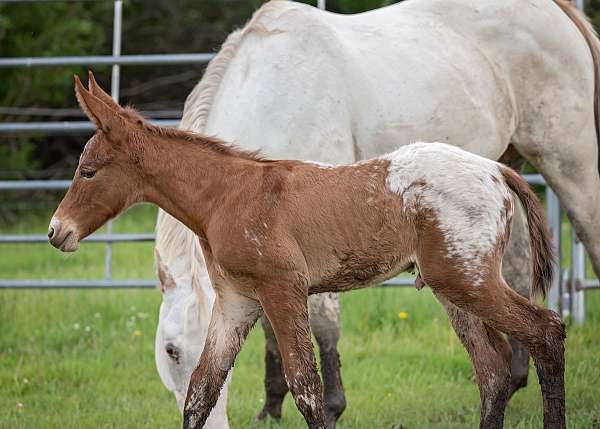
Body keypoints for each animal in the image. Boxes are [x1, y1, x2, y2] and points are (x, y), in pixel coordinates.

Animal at [49, 74, 564, 428]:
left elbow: (307, 389)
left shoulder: (283, 290)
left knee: (546, 330)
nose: (56, 231)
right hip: (450, 287)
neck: (228, 194)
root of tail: (497, 171)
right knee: (492, 371)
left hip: (468, 281)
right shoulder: (237, 302)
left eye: (88, 171)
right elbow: (202, 391)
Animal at [155, 0, 600, 424]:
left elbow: (323, 321)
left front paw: (331, 405)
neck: (277, 88)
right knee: (518, 271)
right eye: (170, 350)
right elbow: (269, 324)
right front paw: (272, 407)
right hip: (501, 173)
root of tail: (557, 11)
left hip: (568, 160)